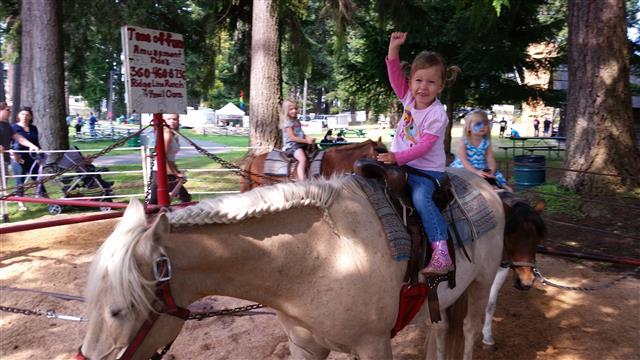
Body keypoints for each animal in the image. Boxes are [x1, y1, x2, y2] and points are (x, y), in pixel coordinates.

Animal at [77, 169, 502, 360]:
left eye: (117, 311)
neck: (321, 258)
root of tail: (484, 184)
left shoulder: (374, 346)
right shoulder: (305, 347)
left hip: (481, 283)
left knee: (468, 329)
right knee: (439, 329)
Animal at [480, 191, 544, 352]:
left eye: (537, 241)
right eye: (509, 238)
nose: (526, 282)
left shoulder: (501, 268)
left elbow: (490, 303)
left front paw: (487, 338)